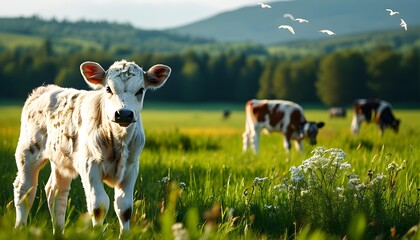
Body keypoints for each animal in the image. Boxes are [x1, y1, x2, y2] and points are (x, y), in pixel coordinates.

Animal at [13, 60, 171, 234]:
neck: (118, 141)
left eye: (141, 90)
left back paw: (58, 232)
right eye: (108, 89)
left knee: (56, 193)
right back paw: (20, 228)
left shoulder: (131, 167)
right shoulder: (90, 166)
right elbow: (99, 206)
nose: (123, 114)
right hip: (28, 152)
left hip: (61, 160)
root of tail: (44, 89)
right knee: (25, 190)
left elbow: (124, 208)